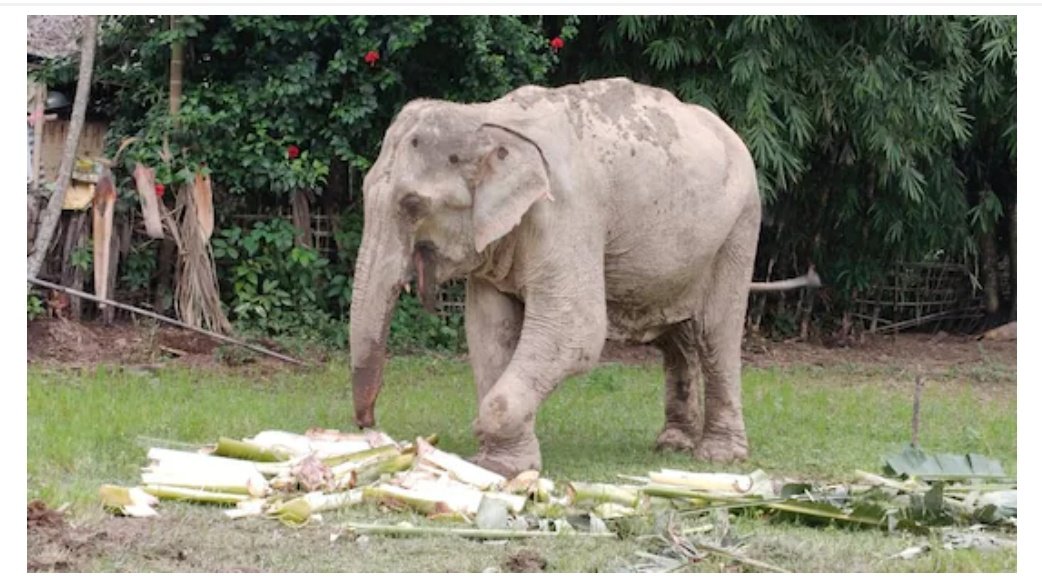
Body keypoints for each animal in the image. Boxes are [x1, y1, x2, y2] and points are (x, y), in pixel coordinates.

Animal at [349, 77, 814, 477]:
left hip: (740, 226)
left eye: (411, 204)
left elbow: (577, 330)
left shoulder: (568, 213)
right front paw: (498, 462)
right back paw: (672, 444)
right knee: (675, 335)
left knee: (715, 332)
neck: (486, 117)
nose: (370, 426)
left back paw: (718, 456)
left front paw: (493, 459)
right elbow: (488, 329)